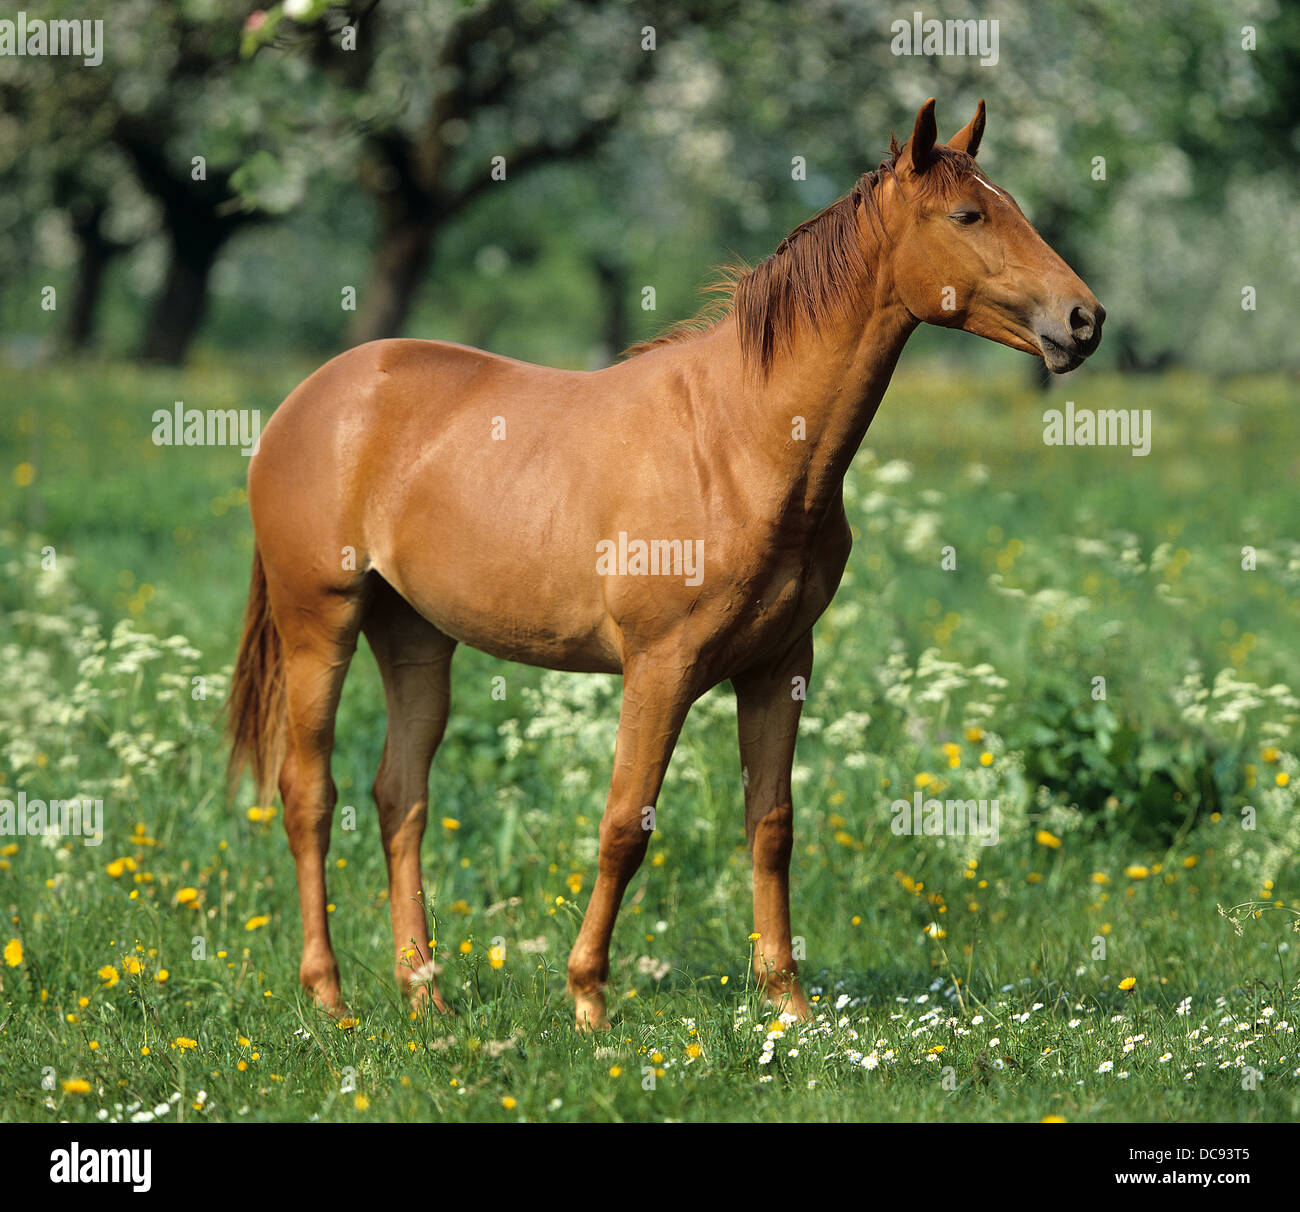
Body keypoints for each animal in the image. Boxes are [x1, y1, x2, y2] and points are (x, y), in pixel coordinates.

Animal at [228, 99, 1102, 1029]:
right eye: (968, 215)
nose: (1084, 320)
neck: (739, 440)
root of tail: (308, 400)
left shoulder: (779, 666)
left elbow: (772, 826)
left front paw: (789, 1006)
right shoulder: (660, 667)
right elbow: (625, 824)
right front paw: (588, 1000)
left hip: (416, 636)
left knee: (400, 798)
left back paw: (424, 995)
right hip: (320, 624)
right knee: (308, 795)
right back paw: (330, 998)